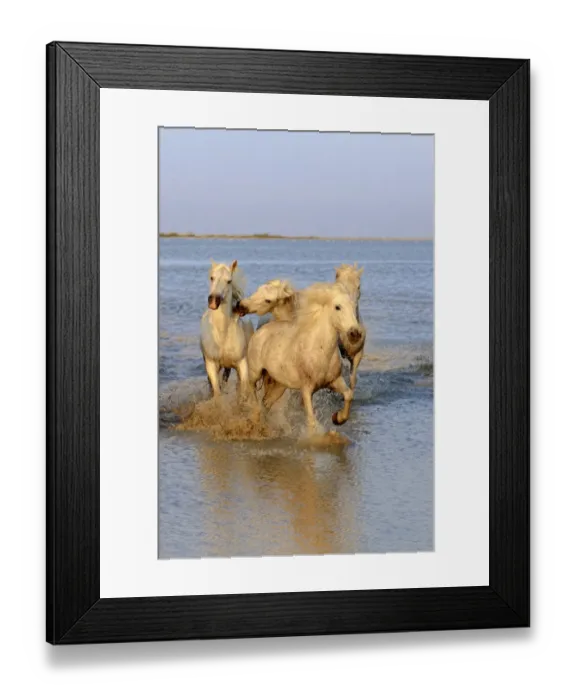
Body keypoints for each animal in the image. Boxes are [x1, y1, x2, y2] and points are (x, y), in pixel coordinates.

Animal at [200, 260, 254, 398]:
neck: (221, 335)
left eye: (229, 281)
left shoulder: (242, 364)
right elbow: (217, 392)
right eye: (211, 277)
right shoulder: (211, 365)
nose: (214, 300)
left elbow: (242, 391)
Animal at [247, 282, 362, 433]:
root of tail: (261, 330)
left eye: (353, 306)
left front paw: (337, 418)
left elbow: (349, 394)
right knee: (252, 391)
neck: (320, 351)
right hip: (255, 373)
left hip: (279, 385)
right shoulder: (306, 389)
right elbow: (311, 421)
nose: (355, 333)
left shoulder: (334, 381)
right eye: (338, 307)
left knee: (266, 403)